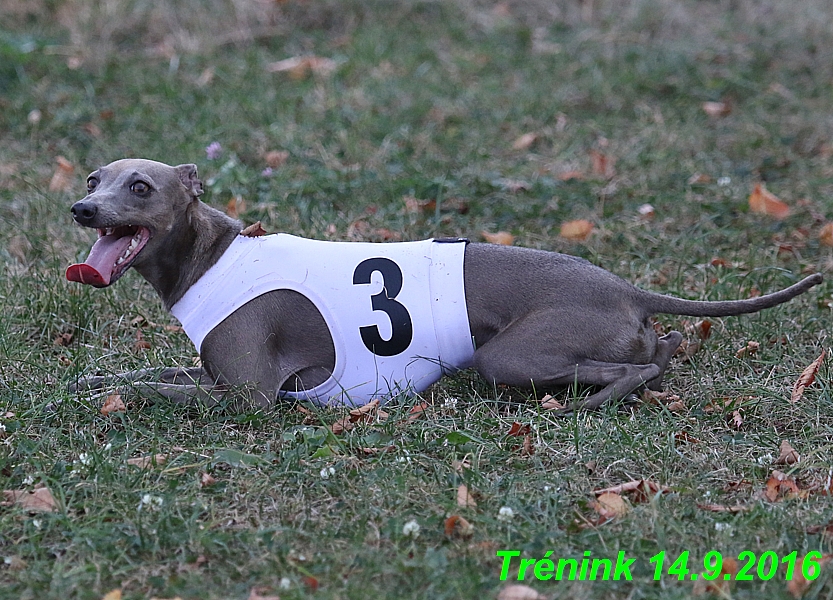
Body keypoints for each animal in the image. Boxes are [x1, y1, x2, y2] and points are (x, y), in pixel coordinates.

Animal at [66, 158, 820, 412]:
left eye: (141, 186)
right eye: (94, 177)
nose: (82, 209)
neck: (213, 255)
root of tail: (627, 289)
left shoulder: (249, 397)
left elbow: (157, 390)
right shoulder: (211, 375)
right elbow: (144, 373)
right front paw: (93, 380)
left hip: (509, 355)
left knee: (642, 367)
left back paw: (594, 401)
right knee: (661, 351)